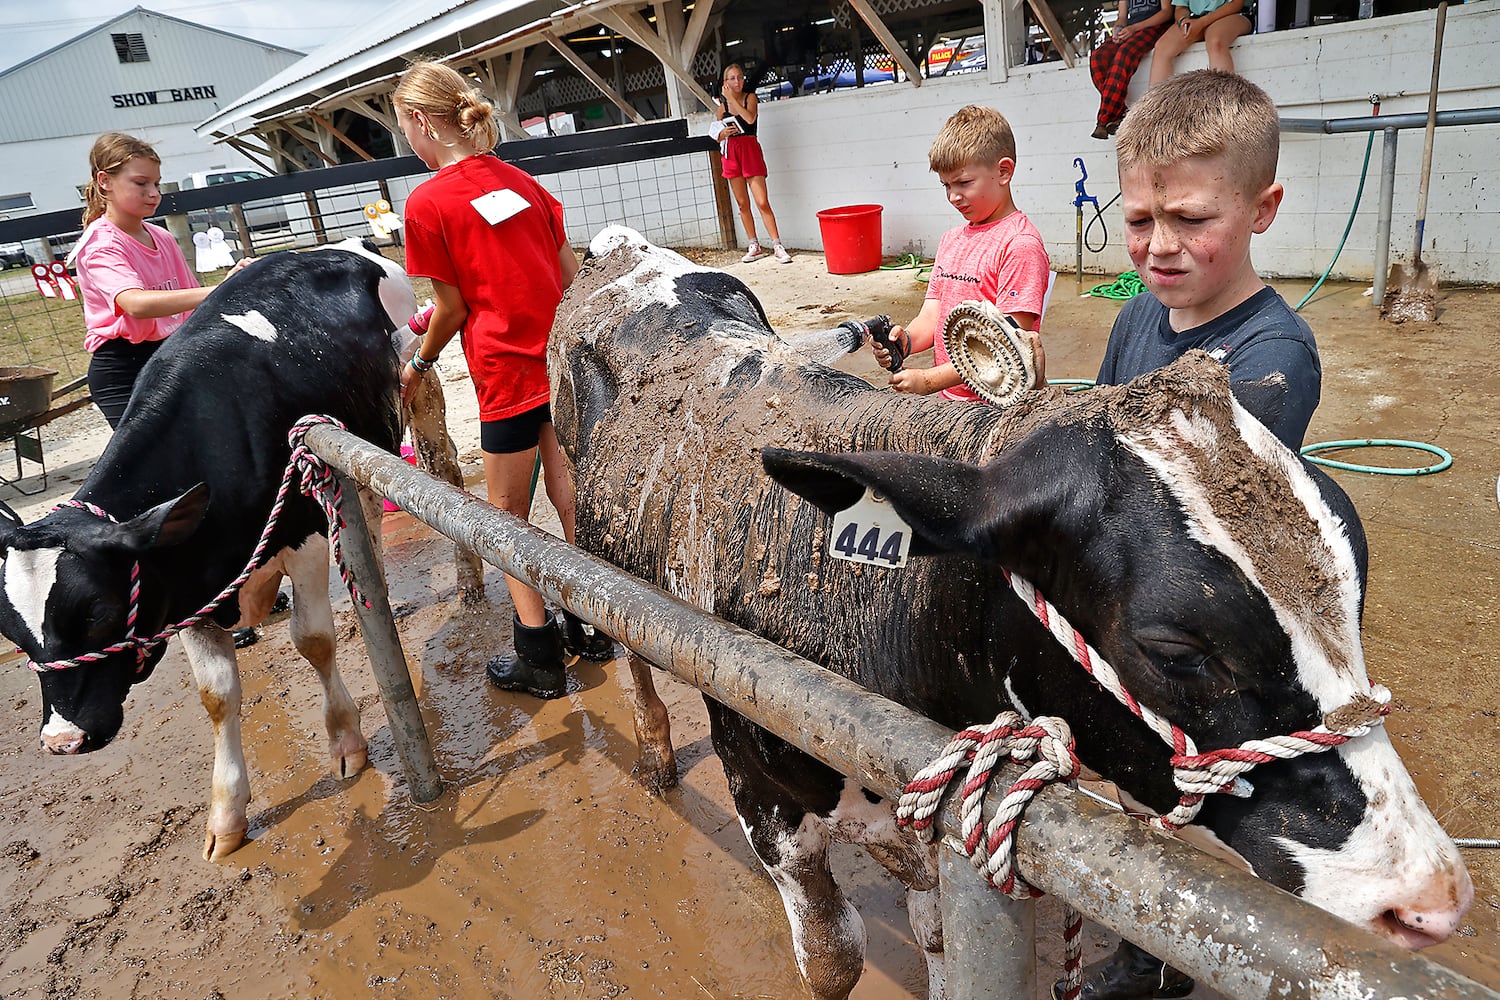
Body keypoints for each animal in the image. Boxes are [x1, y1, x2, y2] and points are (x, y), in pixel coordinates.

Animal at [0, 239, 480, 863]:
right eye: (12, 635)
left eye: (98, 613)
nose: (62, 740)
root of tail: (344, 245)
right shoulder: (184, 590)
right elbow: (217, 696)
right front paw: (225, 816)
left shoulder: (302, 535)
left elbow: (314, 641)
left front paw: (346, 741)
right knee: (367, 514)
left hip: (417, 387)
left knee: (439, 468)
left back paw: (468, 584)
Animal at [549, 230, 1464, 1000]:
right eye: (1174, 648)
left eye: (1353, 588)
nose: (1428, 895)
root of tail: (623, 247)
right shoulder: (766, 797)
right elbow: (834, 959)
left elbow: (941, 943)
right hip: (592, 535)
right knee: (623, 641)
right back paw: (655, 752)